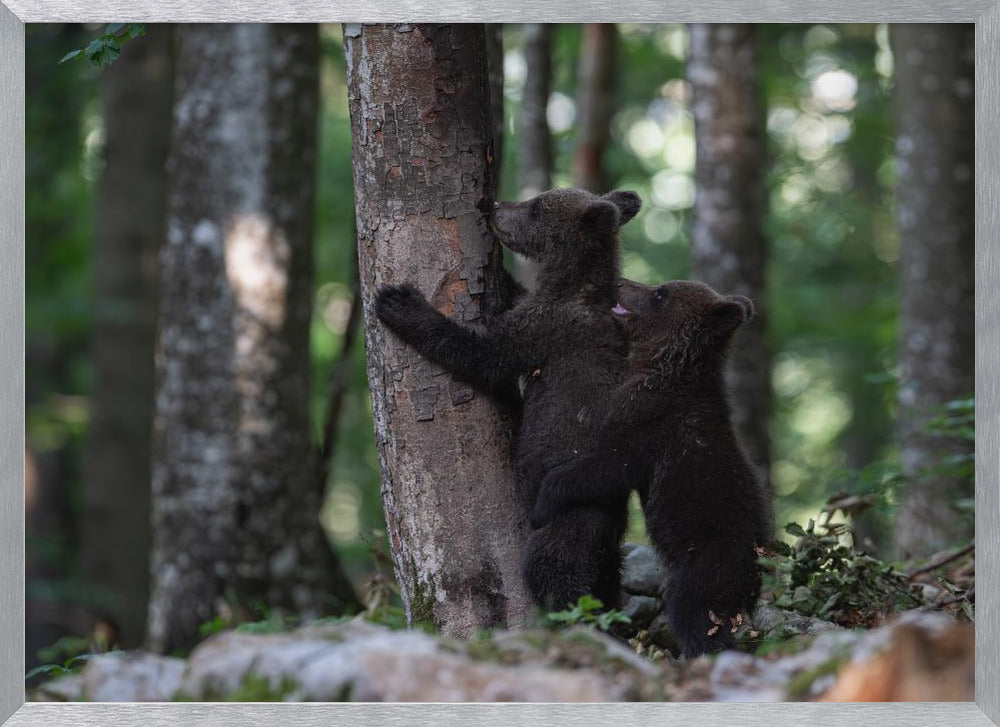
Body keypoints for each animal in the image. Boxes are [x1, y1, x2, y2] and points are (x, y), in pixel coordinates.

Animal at [375, 187, 642, 612]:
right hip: (608, 546)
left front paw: (400, 302)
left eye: (536, 207)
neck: (570, 285)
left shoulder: (546, 329)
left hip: (568, 516)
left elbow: (485, 355)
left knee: (556, 572)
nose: (494, 205)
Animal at [530, 278, 774, 657]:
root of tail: (756, 573)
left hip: (705, 563)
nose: (620, 282)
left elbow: (603, 468)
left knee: (694, 614)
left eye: (661, 293)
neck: (663, 368)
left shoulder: (648, 427)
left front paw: (544, 499)